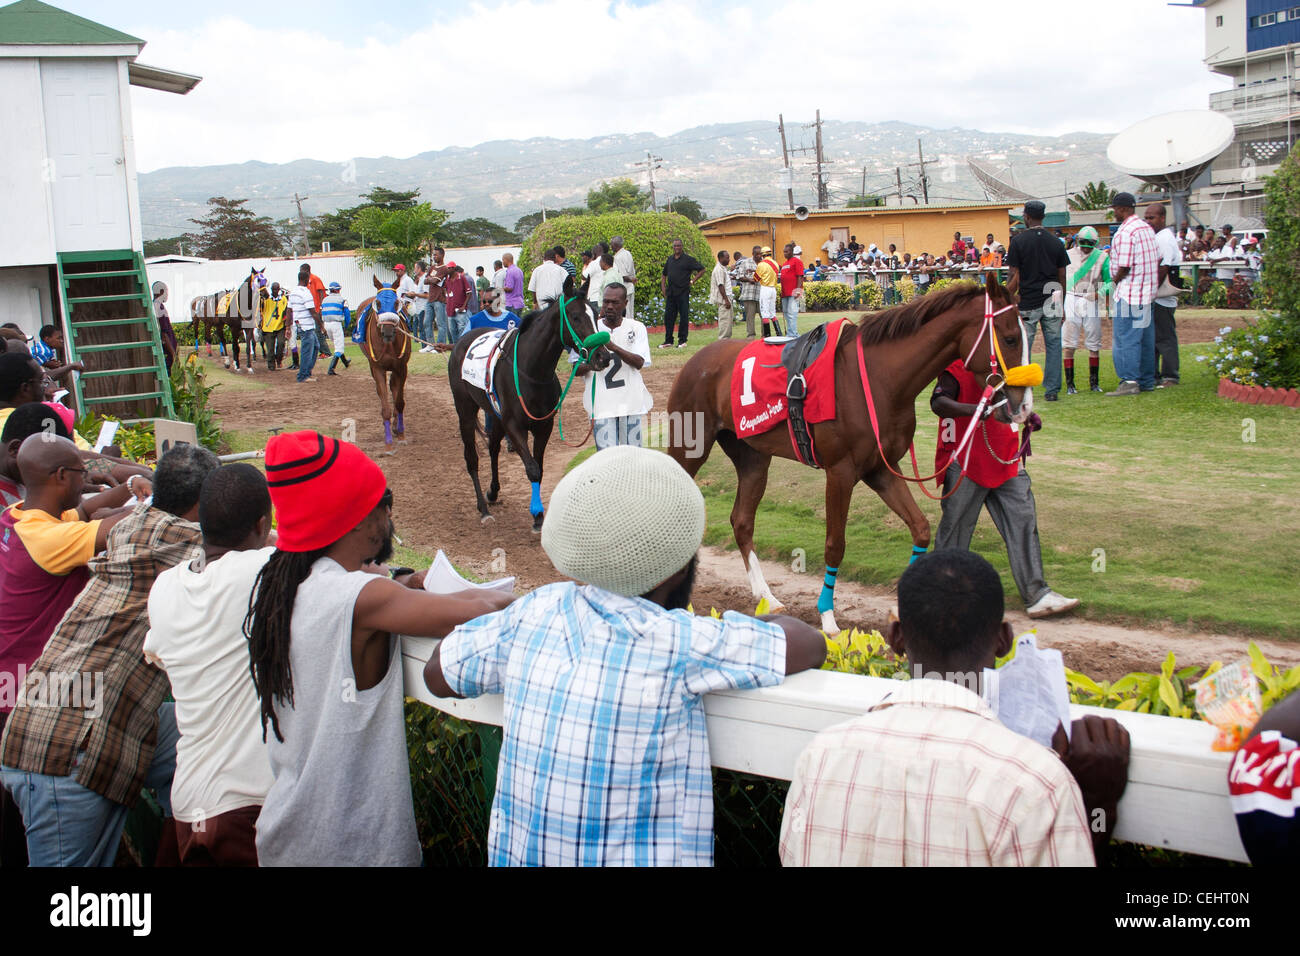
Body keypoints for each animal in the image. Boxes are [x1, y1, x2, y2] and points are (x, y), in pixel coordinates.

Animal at [353, 270, 413, 447]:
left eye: (396, 303)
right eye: (378, 304)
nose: (388, 331)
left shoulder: (401, 367)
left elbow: (399, 401)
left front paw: (400, 433)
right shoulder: (377, 368)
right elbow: (384, 402)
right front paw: (388, 442)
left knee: (393, 386)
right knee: (381, 392)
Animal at [447, 273, 608, 535]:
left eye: (596, 314)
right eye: (575, 316)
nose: (603, 356)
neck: (531, 372)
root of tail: (463, 340)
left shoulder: (544, 426)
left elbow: (539, 469)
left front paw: (538, 515)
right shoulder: (515, 426)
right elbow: (531, 468)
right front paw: (537, 514)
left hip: (495, 414)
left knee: (493, 448)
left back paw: (493, 492)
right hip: (465, 410)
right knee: (472, 458)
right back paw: (483, 508)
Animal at [670, 274, 1034, 634]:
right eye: (1011, 338)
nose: (1023, 407)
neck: (877, 378)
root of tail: (697, 361)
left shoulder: (881, 469)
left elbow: (920, 528)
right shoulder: (840, 471)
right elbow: (835, 545)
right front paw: (828, 617)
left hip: (753, 457)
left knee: (742, 521)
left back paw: (767, 598)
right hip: (689, 448)